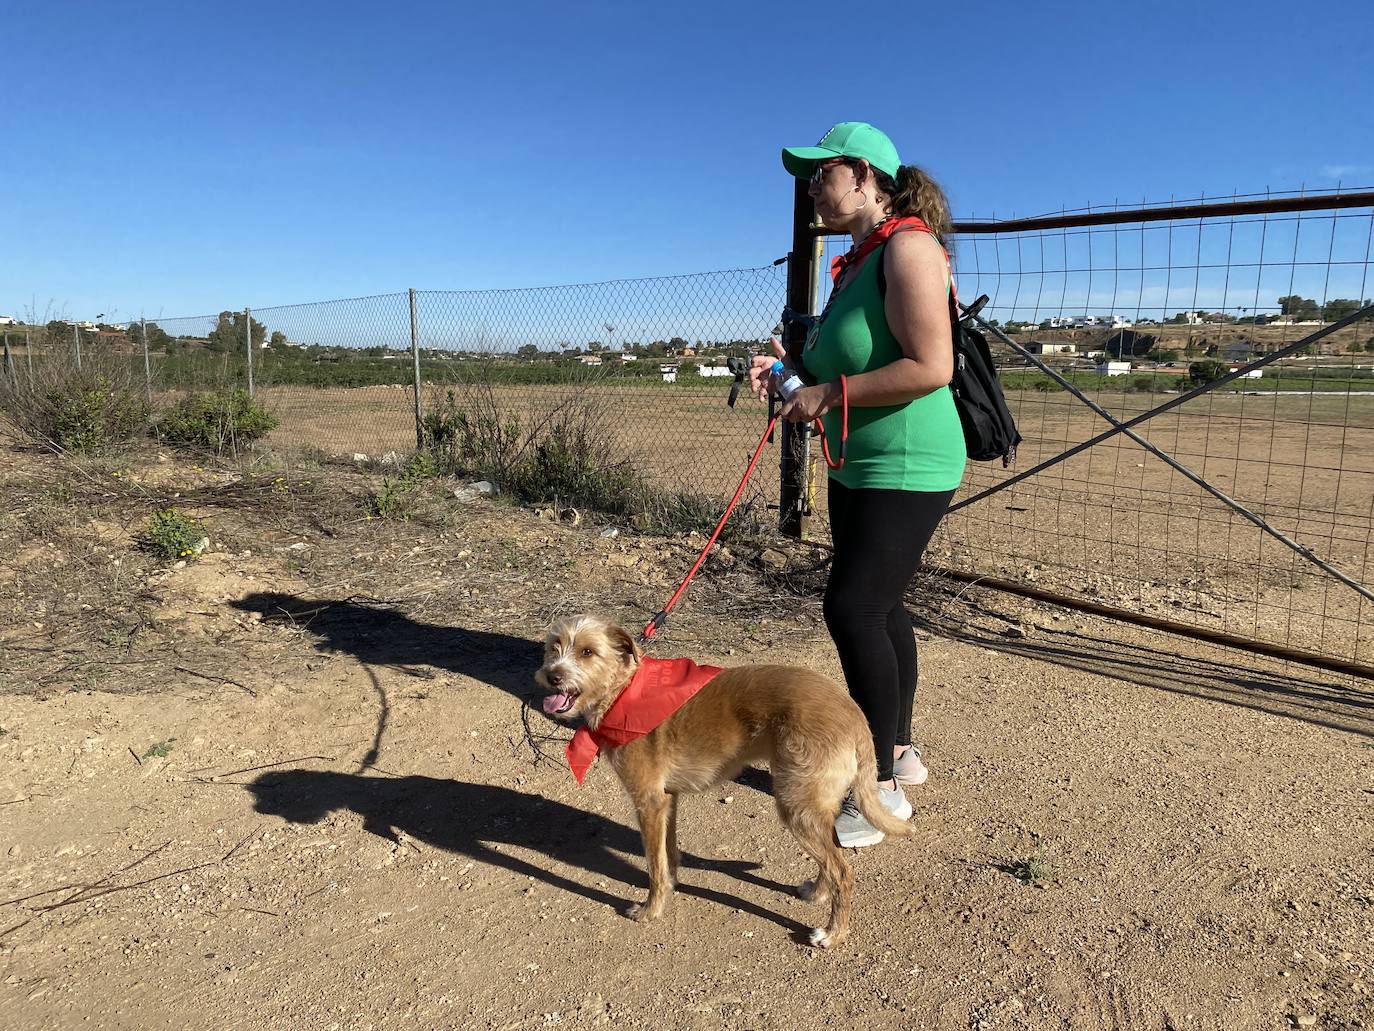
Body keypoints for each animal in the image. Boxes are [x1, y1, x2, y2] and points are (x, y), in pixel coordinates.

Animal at [535, 618, 912, 951]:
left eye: (587, 651)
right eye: (554, 646)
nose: (552, 676)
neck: (624, 692)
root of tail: (855, 715)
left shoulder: (648, 801)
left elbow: (654, 865)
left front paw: (650, 909)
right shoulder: (667, 799)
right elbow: (668, 854)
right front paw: (671, 885)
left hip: (796, 806)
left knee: (843, 872)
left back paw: (833, 934)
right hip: (812, 804)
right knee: (832, 859)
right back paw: (818, 893)